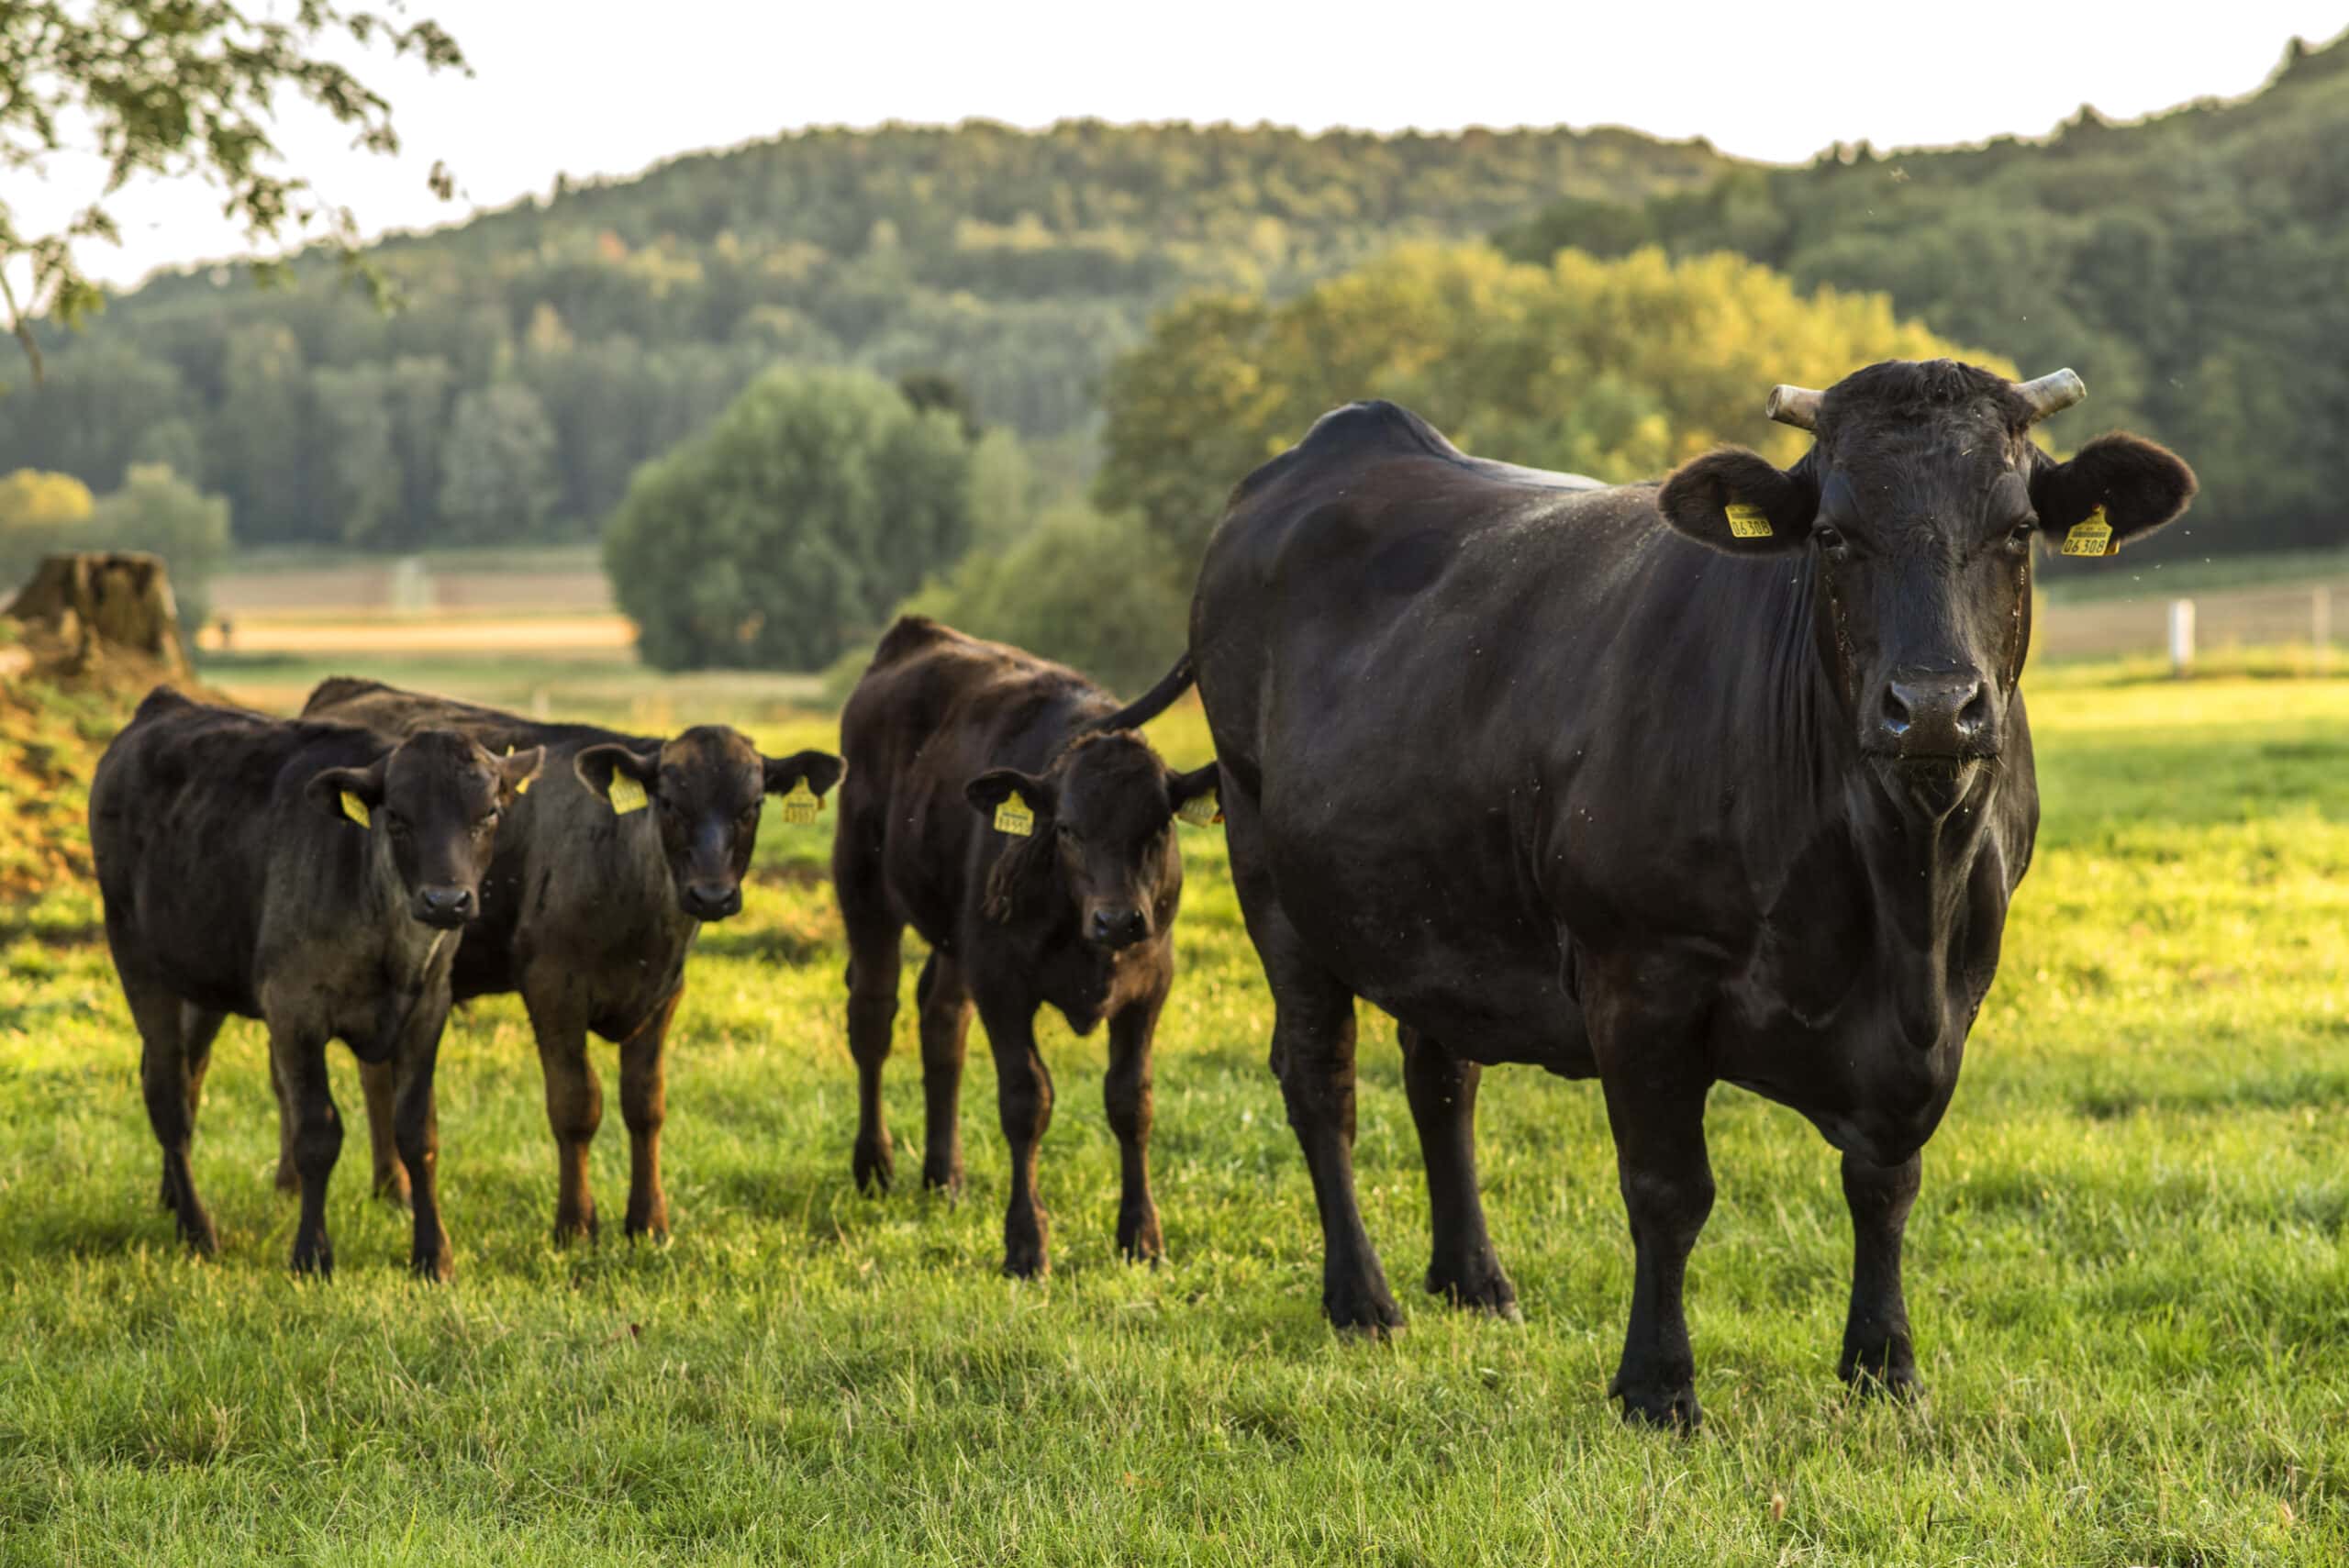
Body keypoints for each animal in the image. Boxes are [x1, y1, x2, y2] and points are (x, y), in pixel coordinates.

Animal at [89, 690, 542, 1276]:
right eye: (396, 818)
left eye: (487, 813)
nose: (446, 901)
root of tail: (165, 704)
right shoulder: (294, 1013)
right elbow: (317, 1133)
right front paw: (312, 1253)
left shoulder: (428, 1010)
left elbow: (417, 1131)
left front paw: (432, 1255)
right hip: (138, 959)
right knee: (168, 1094)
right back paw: (197, 1229)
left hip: (203, 974)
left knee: (185, 1073)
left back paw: (170, 1196)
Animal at [298, 680, 841, 1239]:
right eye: (669, 802)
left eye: (752, 805)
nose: (711, 895)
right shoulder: (553, 991)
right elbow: (576, 1105)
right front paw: (577, 1225)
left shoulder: (664, 994)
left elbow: (646, 1105)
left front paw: (649, 1221)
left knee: (375, 1076)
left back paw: (392, 1189)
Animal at [836, 619, 1211, 1276]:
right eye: (1066, 828)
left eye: (1159, 826)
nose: (1119, 921)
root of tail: (914, 633)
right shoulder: (1001, 982)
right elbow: (1025, 1100)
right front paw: (1026, 1243)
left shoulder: (1149, 985)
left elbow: (1131, 1101)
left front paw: (1141, 1235)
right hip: (864, 887)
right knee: (873, 1020)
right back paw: (875, 1165)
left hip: (956, 936)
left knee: (941, 1022)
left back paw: (945, 1175)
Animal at [1174, 363, 2199, 1418]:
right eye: (1832, 533)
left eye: (2018, 528)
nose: (1932, 707)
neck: (1898, 894)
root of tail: (1345, 437)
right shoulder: (1641, 980)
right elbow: (1669, 1191)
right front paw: (1657, 1385)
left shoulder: (1952, 997)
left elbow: (1885, 1182)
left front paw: (1884, 1364)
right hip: (1267, 870)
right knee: (1320, 1083)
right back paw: (1362, 1297)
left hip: (1435, 906)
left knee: (1441, 1076)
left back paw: (1474, 1278)